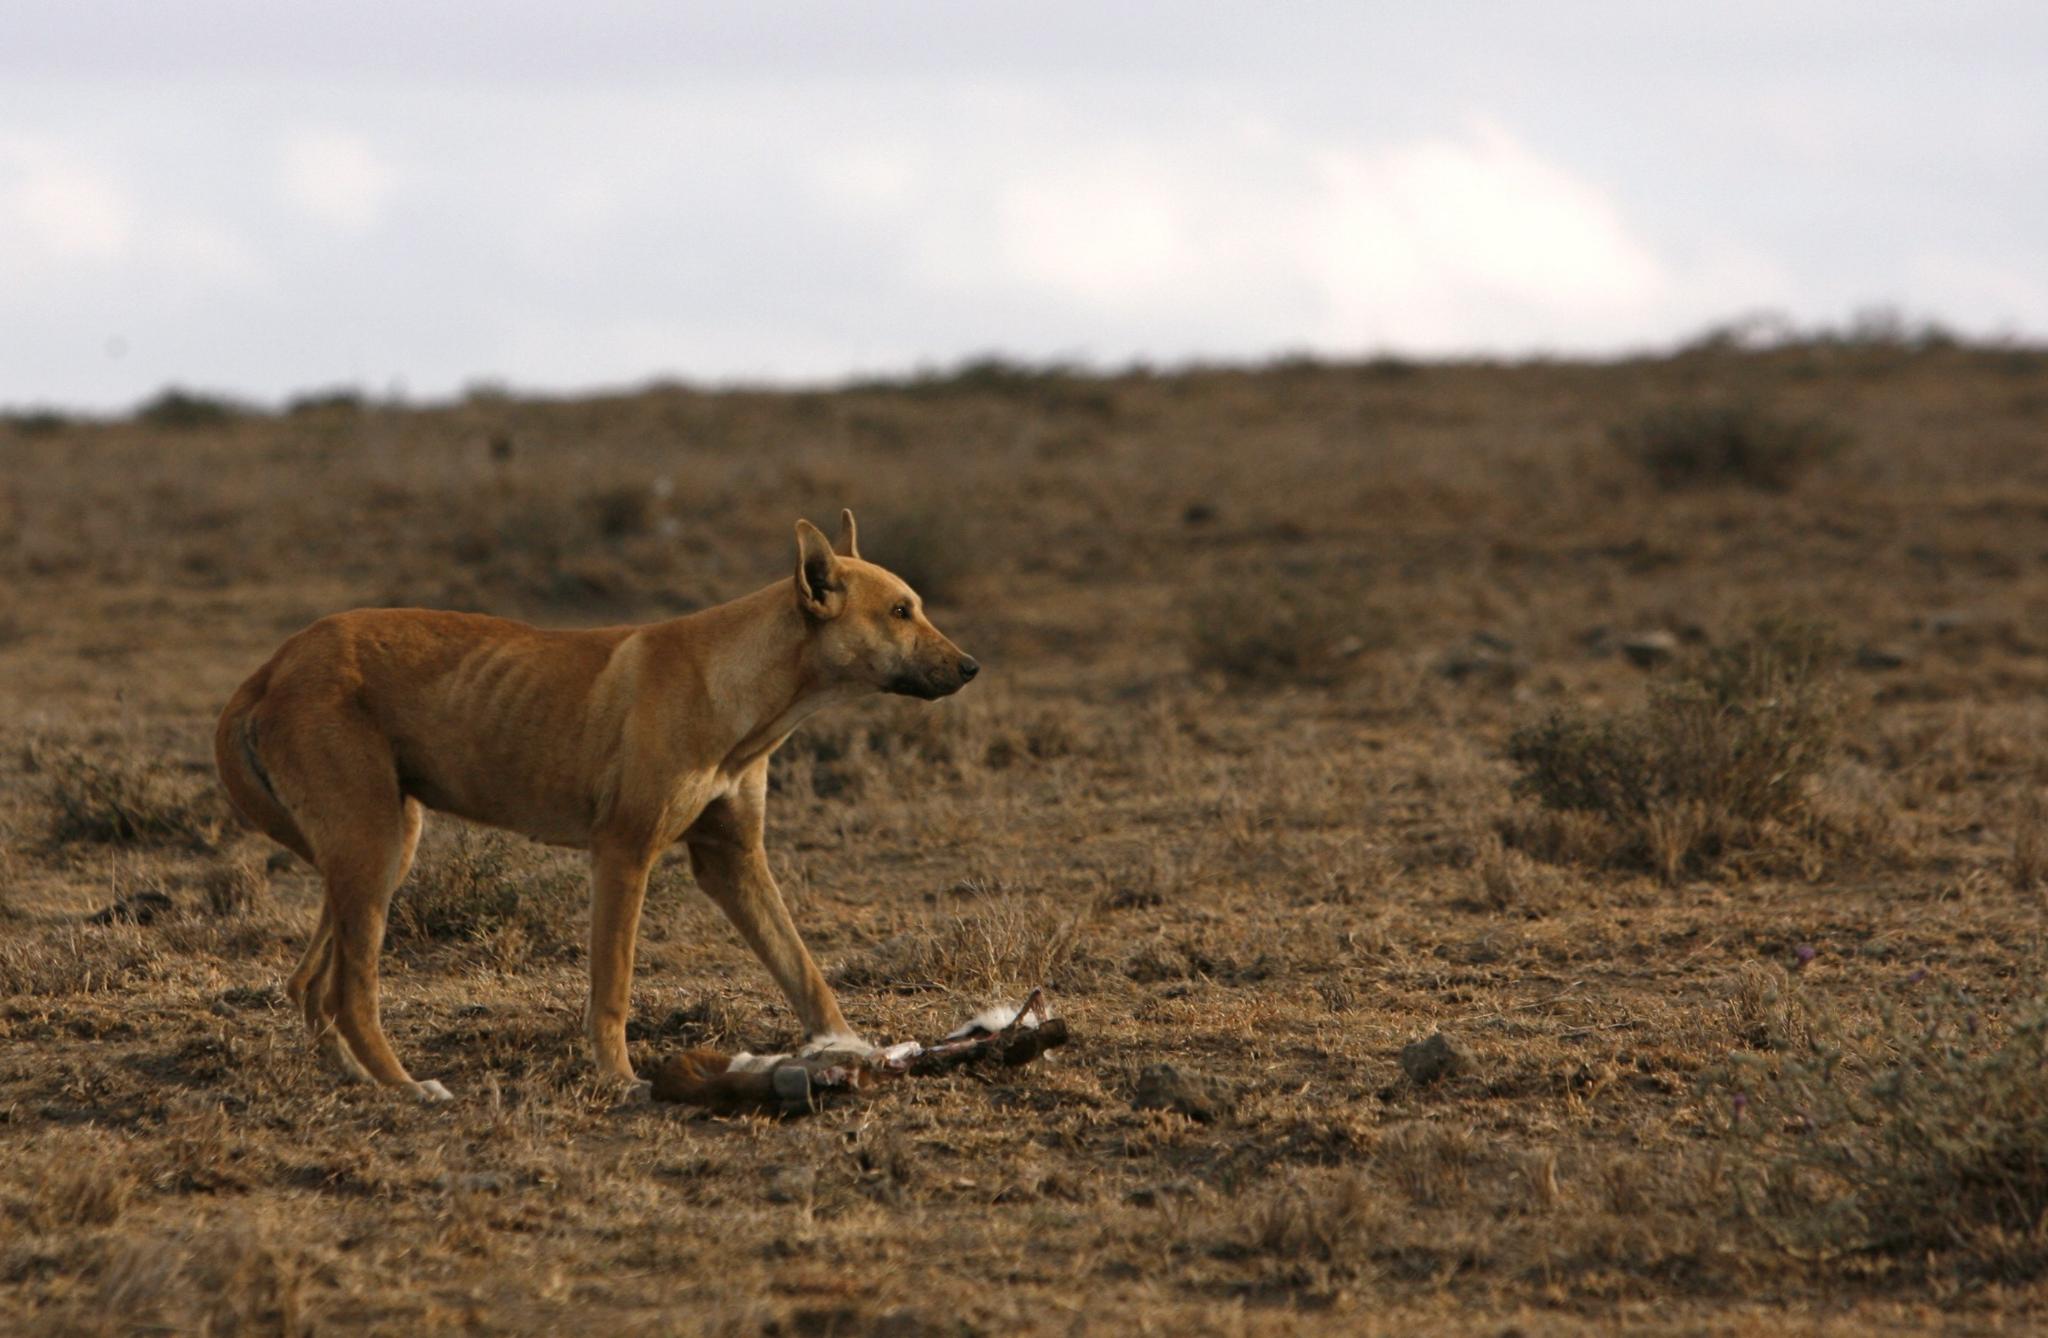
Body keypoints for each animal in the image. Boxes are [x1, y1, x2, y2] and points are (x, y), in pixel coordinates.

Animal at [211, 508, 978, 1098]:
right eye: (900, 612)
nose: (971, 667)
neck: (739, 687)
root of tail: (272, 665)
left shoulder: (733, 859)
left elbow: (804, 971)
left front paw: (850, 1048)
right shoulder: (624, 852)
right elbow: (613, 987)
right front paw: (619, 1078)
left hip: (381, 848)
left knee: (310, 984)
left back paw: (359, 1081)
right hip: (372, 850)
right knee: (349, 993)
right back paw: (405, 1086)